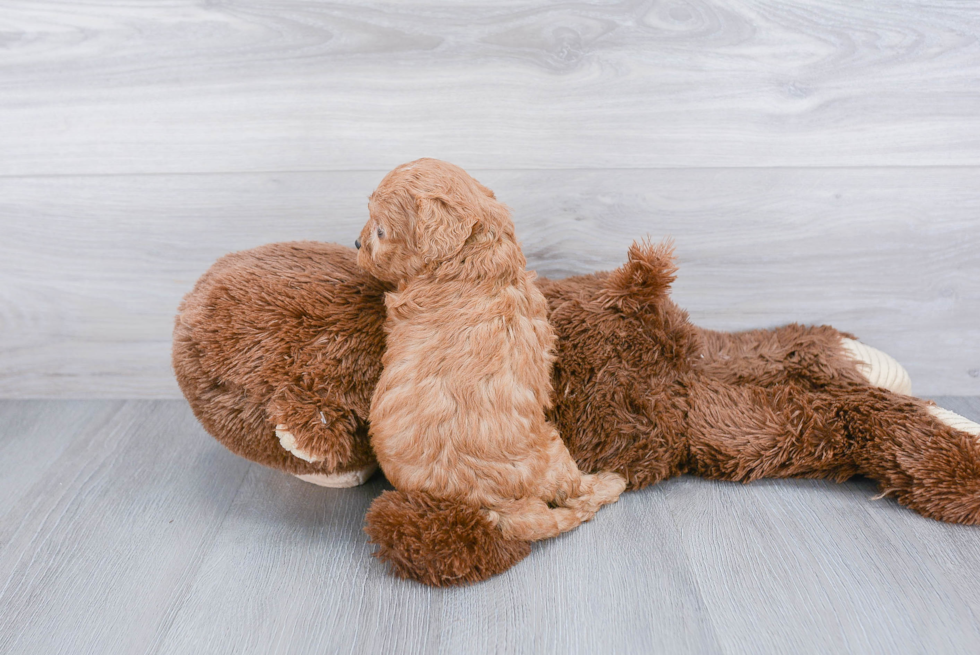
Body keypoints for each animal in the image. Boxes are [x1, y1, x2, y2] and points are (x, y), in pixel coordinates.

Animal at [356, 156, 624, 540]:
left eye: (380, 231)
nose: (356, 243)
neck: (474, 258)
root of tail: (492, 504)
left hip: (552, 445)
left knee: (578, 492)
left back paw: (610, 481)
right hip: (553, 450)